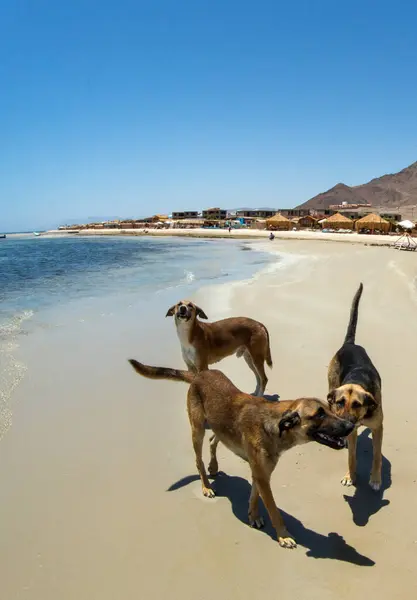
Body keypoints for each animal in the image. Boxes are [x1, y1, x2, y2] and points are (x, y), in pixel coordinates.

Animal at [128, 358, 352, 552]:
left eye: (330, 408)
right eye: (319, 414)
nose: (350, 425)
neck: (274, 425)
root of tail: (199, 375)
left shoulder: (260, 473)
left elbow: (254, 496)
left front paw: (253, 516)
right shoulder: (262, 476)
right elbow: (273, 509)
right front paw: (283, 535)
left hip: (219, 427)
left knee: (213, 441)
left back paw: (214, 466)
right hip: (198, 429)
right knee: (199, 459)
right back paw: (206, 486)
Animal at [326, 284, 382, 490]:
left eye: (357, 404)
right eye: (340, 402)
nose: (346, 424)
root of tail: (349, 344)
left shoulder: (378, 428)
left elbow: (376, 457)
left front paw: (376, 479)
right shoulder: (351, 432)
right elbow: (351, 457)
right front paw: (350, 476)